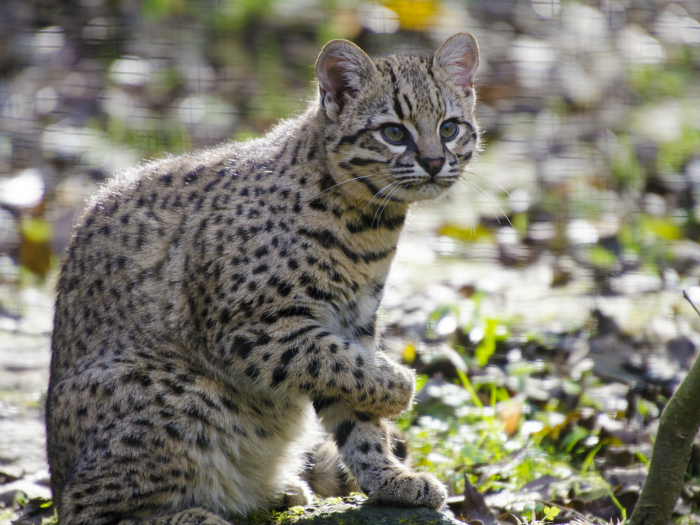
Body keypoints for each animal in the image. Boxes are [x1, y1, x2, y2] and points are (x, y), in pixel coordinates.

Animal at [45, 33, 482, 524]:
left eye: (449, 128)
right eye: (393, 132)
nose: (434, 162)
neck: (371, 226)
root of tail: (56, 478)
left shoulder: (351, 322)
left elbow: (355, 403)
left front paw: (389, 479)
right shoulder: (249, 329)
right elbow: (341, 364)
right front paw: (402, 387)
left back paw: (273, 490)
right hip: (180, 393)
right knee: (86, 507)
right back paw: (199, 514)